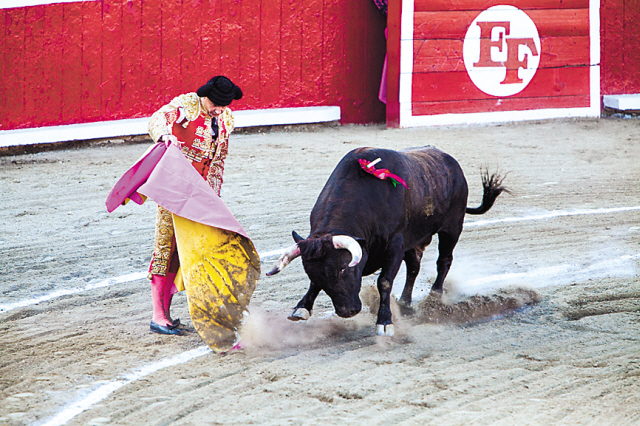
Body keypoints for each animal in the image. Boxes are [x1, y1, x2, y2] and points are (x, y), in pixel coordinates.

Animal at [264, 146, 504, 336]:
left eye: (344, 268)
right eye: (313, 273)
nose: (347, 312)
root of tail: (451, 163)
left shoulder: (395, 246)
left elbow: (385, 282)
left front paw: (385, 323)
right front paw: (301, 308)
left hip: (451, 228)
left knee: (443, 261)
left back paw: (434, 297)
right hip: (415, 241)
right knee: (414, 267)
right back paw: (405, 302)